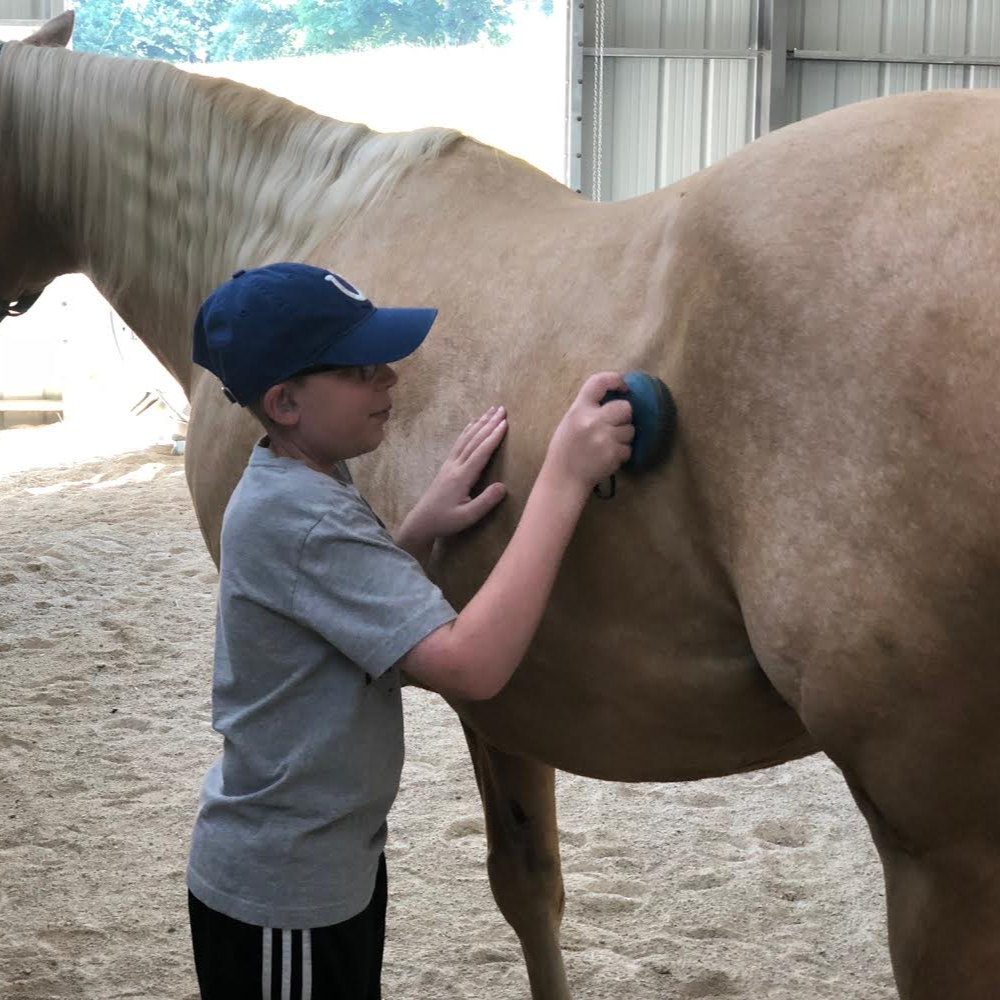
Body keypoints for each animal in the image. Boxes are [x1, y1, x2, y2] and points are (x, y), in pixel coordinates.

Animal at [3, 13, 1000, 999]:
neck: (294, 212)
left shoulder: (494, 696)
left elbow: (522, 890)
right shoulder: (512, 684)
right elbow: (536, 885)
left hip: (942, 857)